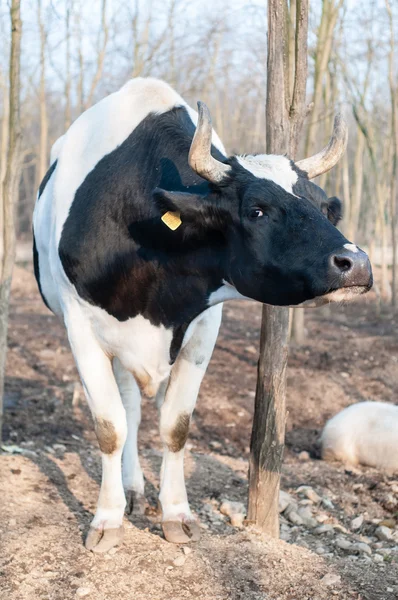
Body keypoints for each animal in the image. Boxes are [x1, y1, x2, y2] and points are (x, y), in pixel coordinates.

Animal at [32, 78, 372, 552]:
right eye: (257, 210)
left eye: (324, 208)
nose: (356, 262)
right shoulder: (79, 325)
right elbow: (109, 426)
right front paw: (106, 519)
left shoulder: (204, 326)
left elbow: (175, 425)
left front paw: (176, 514)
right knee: (128, 409)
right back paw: (129, 490)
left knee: (134, 403)